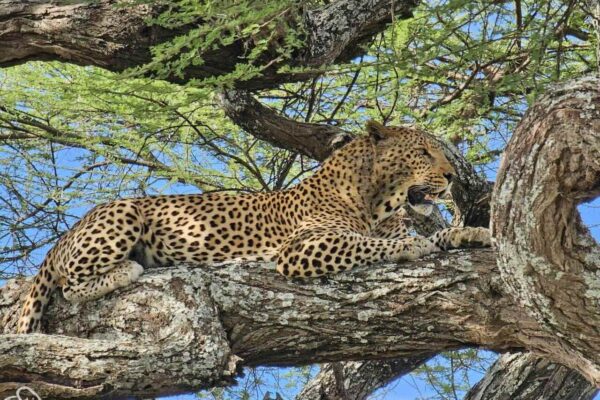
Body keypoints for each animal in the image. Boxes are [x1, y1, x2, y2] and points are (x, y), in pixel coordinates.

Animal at [16, 120, 490, 332]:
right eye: (424, 153)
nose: (452, 176)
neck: (375, 201)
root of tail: (64, 235)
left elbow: (438, 233)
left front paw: (474, 233)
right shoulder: (300, 249)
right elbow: (365, 244)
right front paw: (411, 248)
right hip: (123, 215)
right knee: (70, 285)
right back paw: (129, 268)